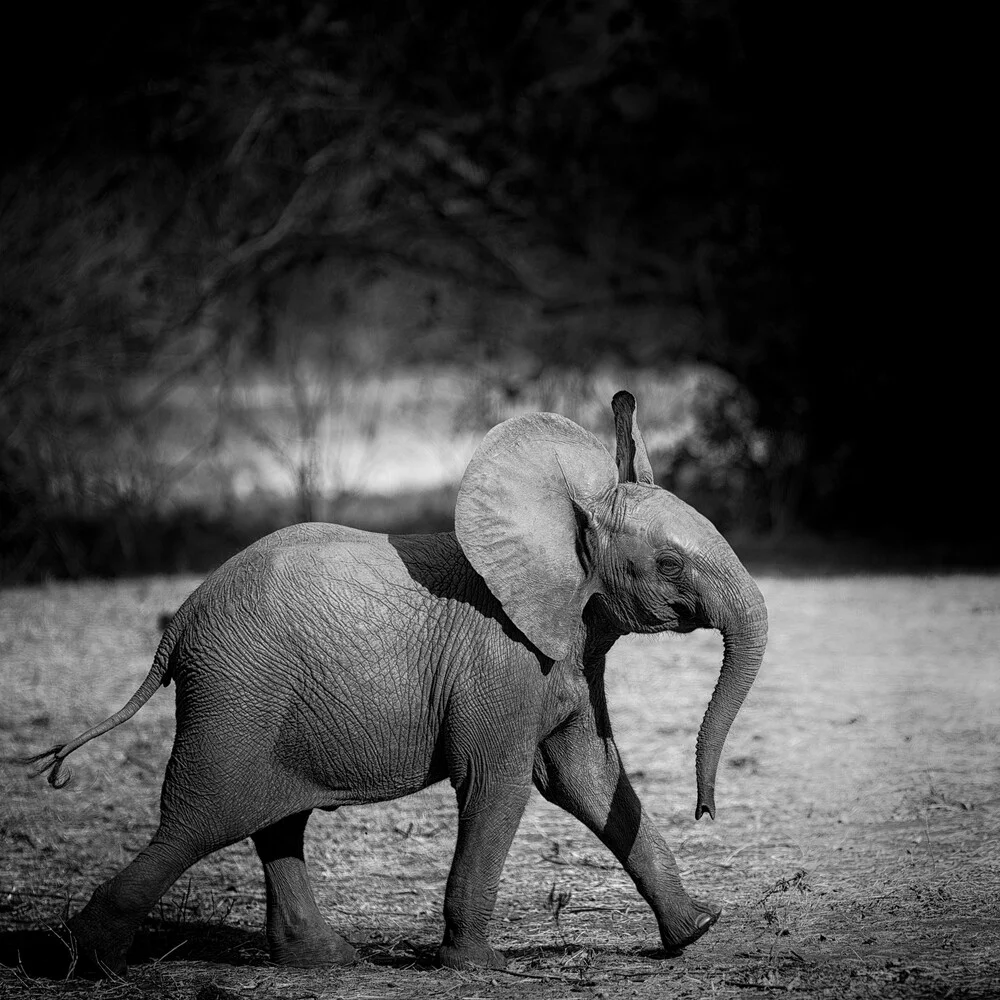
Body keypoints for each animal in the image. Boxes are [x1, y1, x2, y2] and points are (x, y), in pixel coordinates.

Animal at [27, 390, 768, 976]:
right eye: (669, 564)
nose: (706, 810)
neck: (567, 525)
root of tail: (177, 625)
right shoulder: (500, 660)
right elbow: (499, 784)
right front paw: (479, 966)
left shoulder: (571, 650)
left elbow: (587, 776)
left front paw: (698, 929)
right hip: (235, 693)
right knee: (200, 821)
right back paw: (86, 964)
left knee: (274, 822)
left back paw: (324, 960)